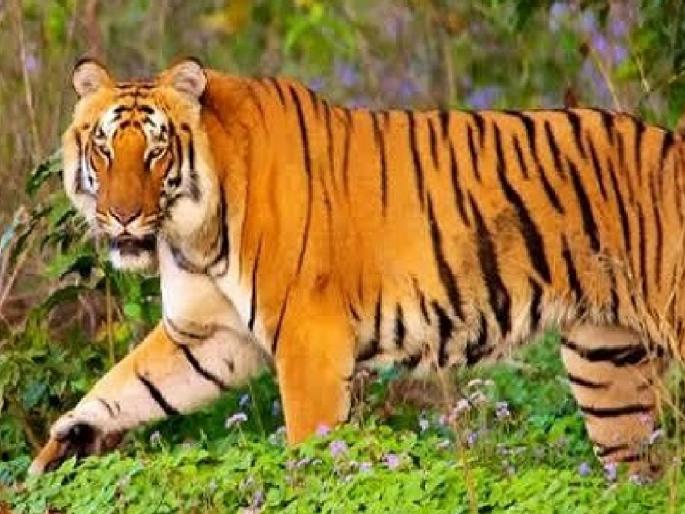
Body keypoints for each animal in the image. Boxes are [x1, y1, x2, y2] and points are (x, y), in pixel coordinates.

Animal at [29, 57, 684, 477]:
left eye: (155, 150)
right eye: (104, 149)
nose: (122, 217)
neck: (194, 233)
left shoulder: (308, 338)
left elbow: (310, 445)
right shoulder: (210, 335)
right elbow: (127, 386)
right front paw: (62, 446)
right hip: (607, 365)